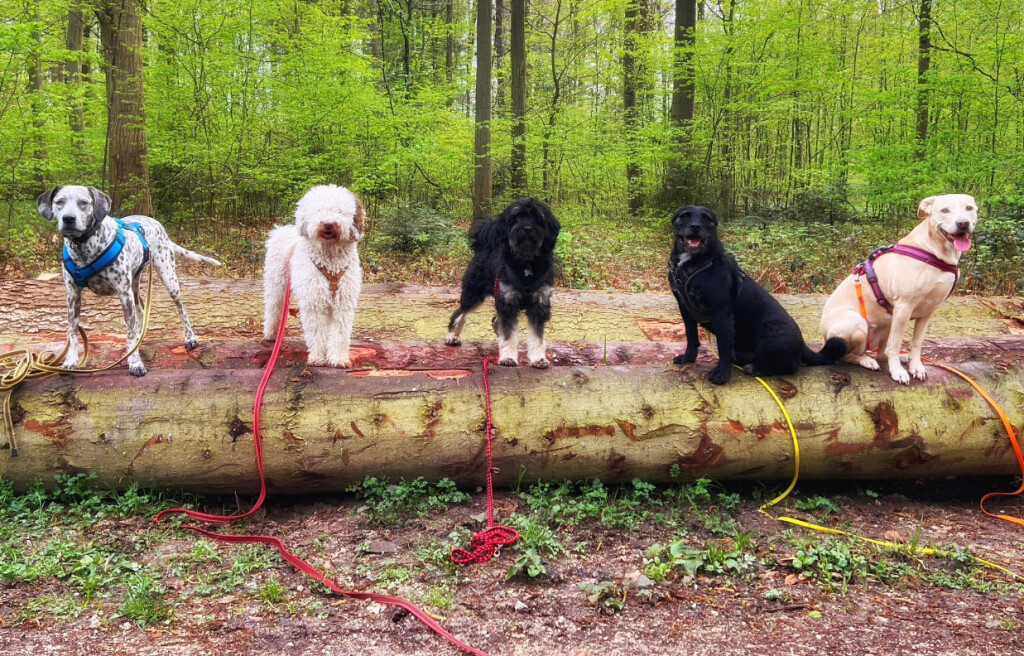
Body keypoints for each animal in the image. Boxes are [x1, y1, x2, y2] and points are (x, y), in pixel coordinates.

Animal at [37, 186, 220, 376]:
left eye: (84, 202)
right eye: (59, 202)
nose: (68, 218)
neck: (84, 247)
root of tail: (156, 223)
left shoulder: (124, 295)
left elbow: (130, 334)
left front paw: (135, 362)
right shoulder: (73, 295)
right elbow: (72, 333)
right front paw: (70, 361)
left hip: (168, 279)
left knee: (181, 310)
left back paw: (190, 337)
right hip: (135, 286)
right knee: (141, 309)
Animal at [264, 186, 364, 366]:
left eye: (339, 211)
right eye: (318, 210)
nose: (328, 224)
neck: (330, 260)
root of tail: (281, 230)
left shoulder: (343, 301)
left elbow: (340, 332)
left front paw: (338, 358)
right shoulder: (314, 300)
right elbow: (317, 331)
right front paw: (318, 357)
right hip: (275, 283)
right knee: (273, 308)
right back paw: (271, 334)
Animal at [444, 196, 561, 366]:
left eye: (538, 218)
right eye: (516, 217)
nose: (527, 228)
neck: (526, 264)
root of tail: (484, 245)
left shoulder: (539, 304)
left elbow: (537, 336)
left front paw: (538, 358)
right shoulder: (508, 301)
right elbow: (509, 333)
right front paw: (508, 357)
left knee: (494, 320)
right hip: (473, 293)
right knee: (461, 312)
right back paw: (453, 336)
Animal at [667, 204, 843, 384]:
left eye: (707, 219)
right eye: (684, 216)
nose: (695, 226)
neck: (695, 265)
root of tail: (803, 345)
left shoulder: (721, 313)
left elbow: (723, 345)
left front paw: (721, 373)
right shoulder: (685, 309)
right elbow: (691, 335)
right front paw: (688, 357)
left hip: (769, 331)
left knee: (791, 366)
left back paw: (756, 368)